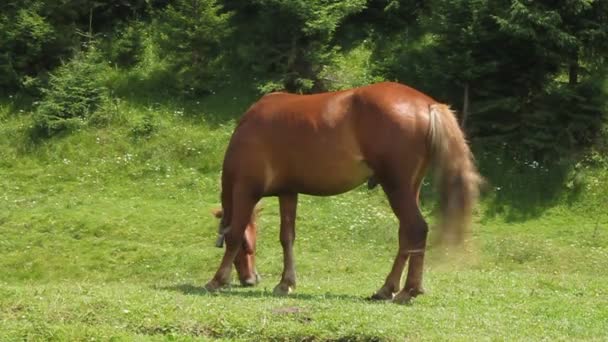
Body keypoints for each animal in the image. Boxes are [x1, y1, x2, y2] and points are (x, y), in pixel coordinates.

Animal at [204, 81, 480, 304]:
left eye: (249, 246)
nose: (251, 279)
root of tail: (428, 103)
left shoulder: (245, 189)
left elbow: (234, 233)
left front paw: (217, 280)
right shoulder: (288, 192)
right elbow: (287, 237)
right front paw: (286, 283)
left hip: (396, 187)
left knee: (416, 229)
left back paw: (407, 290)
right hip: (409, 189)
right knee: (406, 236)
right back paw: (387, 289)